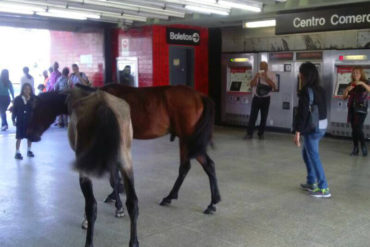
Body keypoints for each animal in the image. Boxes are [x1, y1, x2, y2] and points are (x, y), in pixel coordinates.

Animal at [28, 83, 220, 214]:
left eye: (35, 109)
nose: (30, 135)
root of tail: (200, 96)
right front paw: (117, 193)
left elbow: (114, 173)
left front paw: (116, 197)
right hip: (188, 141)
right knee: (199, 166)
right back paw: (205, 201)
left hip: (188, 140)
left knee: (196, 166)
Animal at [65, 88, 139, 246]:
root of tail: (103, 104)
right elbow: (115, 181)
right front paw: (119, 208)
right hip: (126, 161)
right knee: (133, 202)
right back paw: (133, 242)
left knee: (91, 205)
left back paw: (89, 241)